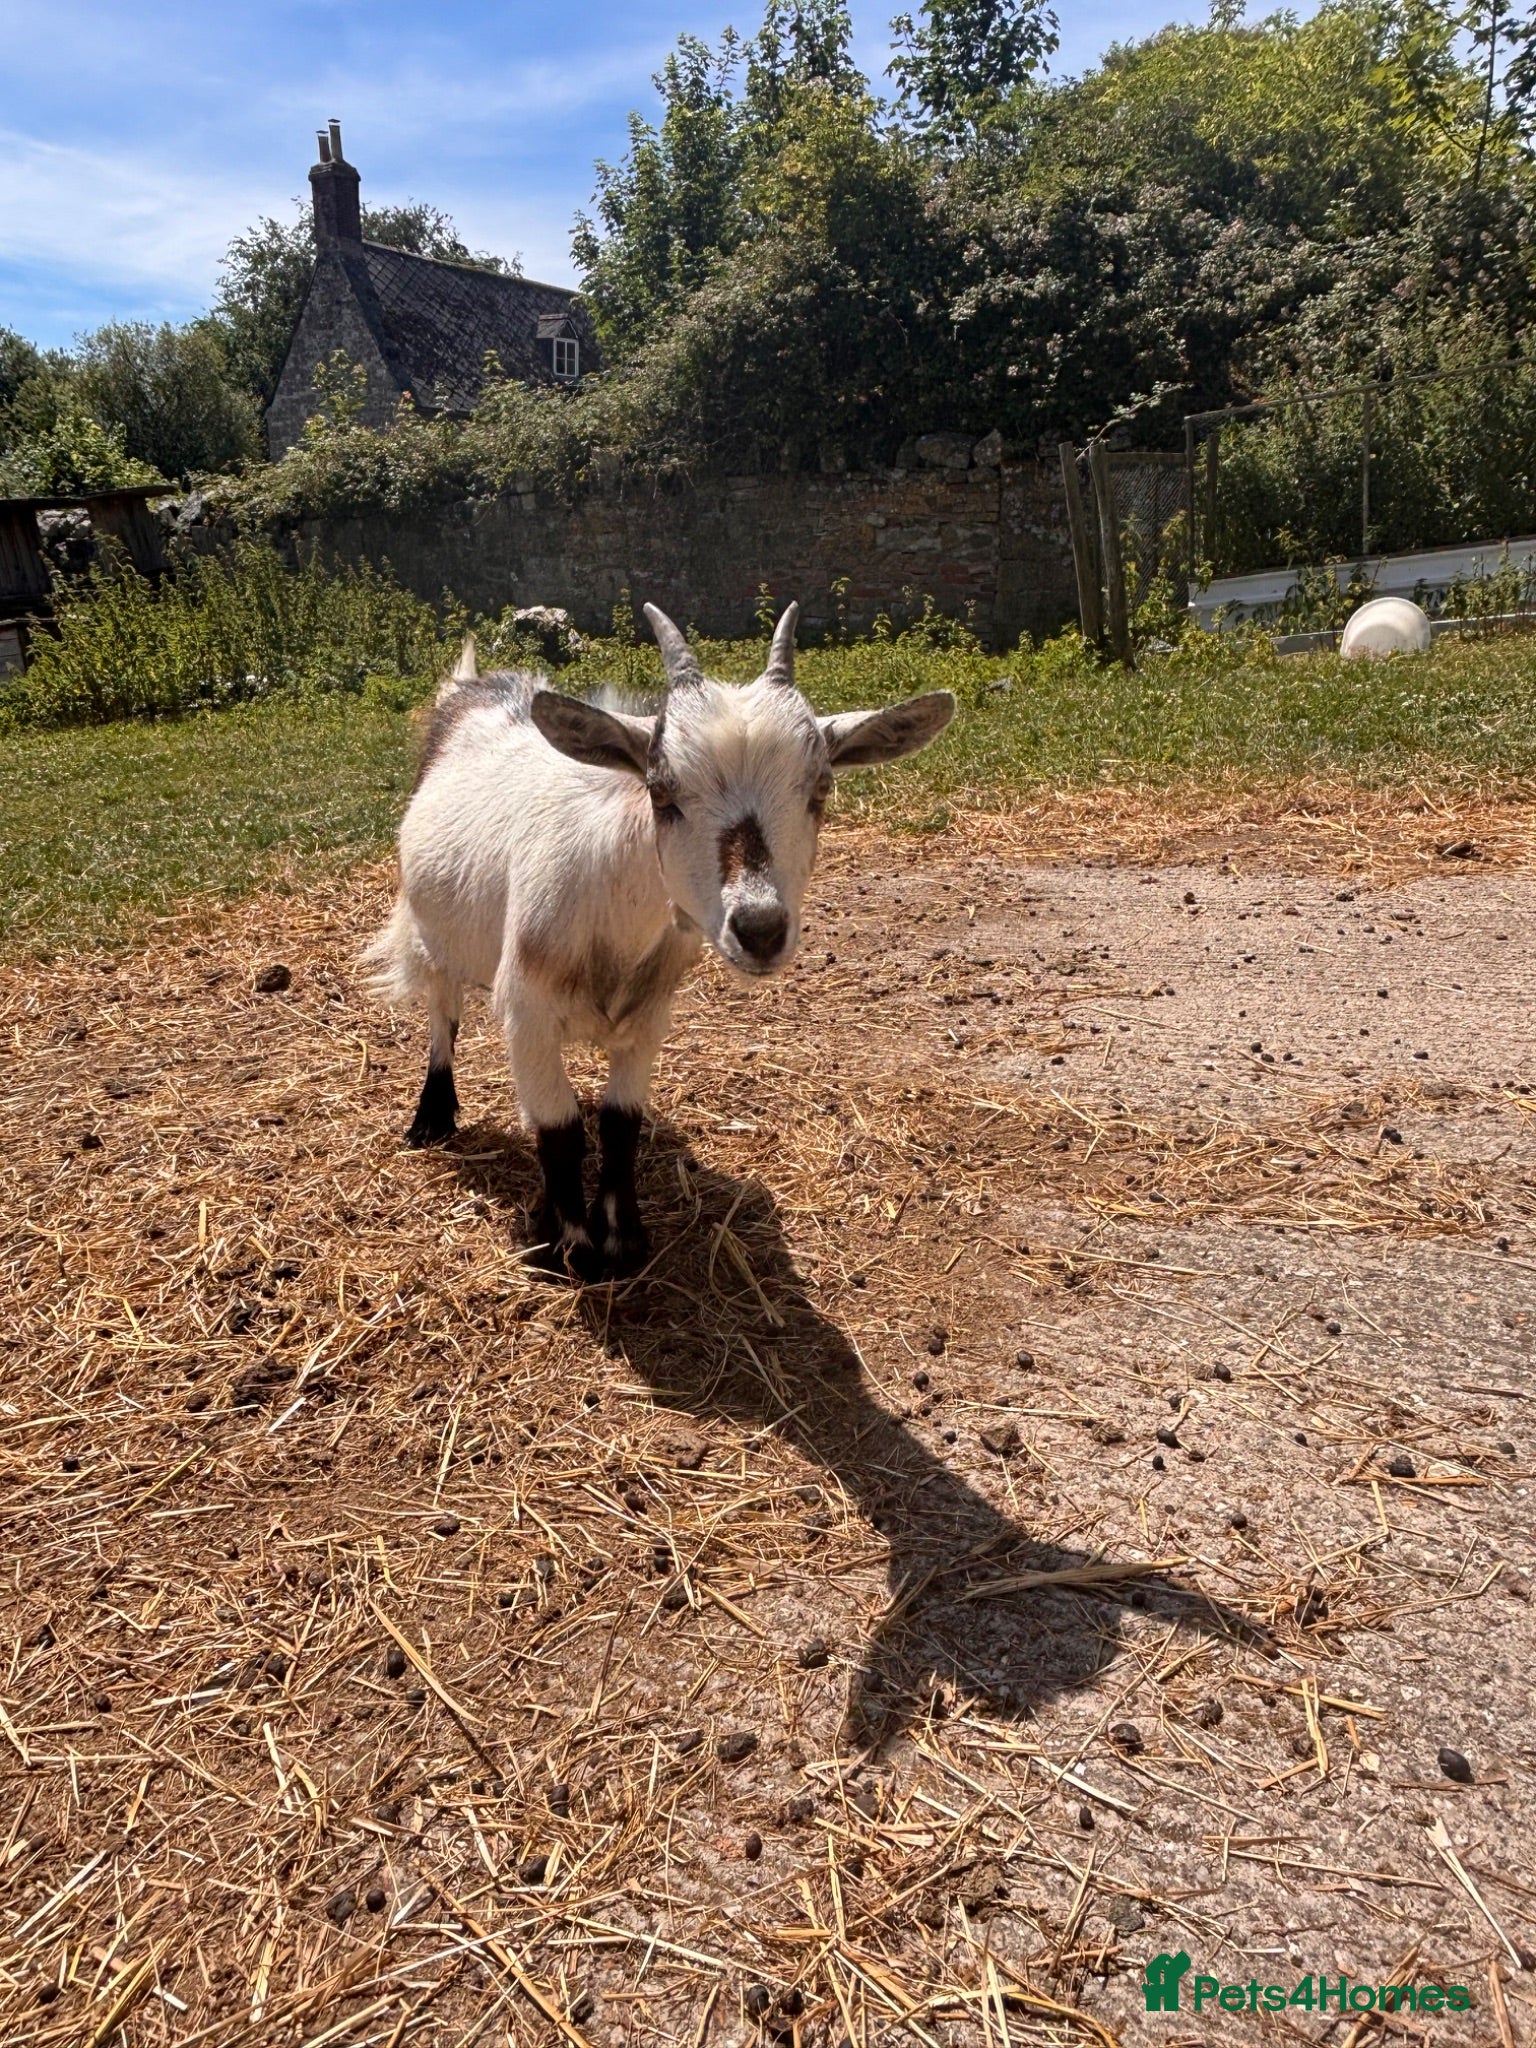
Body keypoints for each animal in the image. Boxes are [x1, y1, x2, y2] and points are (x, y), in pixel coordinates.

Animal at [364, 602, 954, 1280]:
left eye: (821, 790)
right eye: (661, 790)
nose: (759, 929)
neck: (614, 932)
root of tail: (472, 686)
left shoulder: (650, 1013)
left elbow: (620, 1123)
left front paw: (624, 1238)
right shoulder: (526, 1011)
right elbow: (559, 1126)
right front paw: (575, 1248)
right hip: (430, 930)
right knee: (443, 1012)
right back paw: (432, 1117)